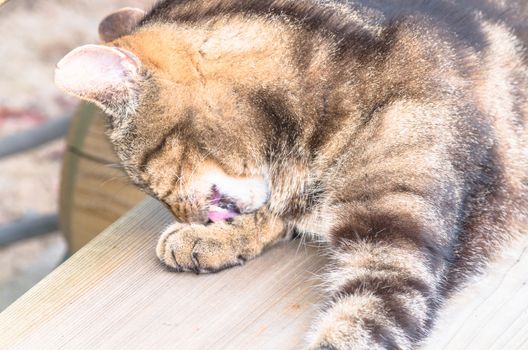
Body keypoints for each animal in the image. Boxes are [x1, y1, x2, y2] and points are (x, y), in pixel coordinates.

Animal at [55, 1, 524, 348]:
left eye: (145, 180)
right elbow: (278, 216)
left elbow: (353, 327)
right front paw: (214, 238)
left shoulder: (394, 255)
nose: (188, 218)